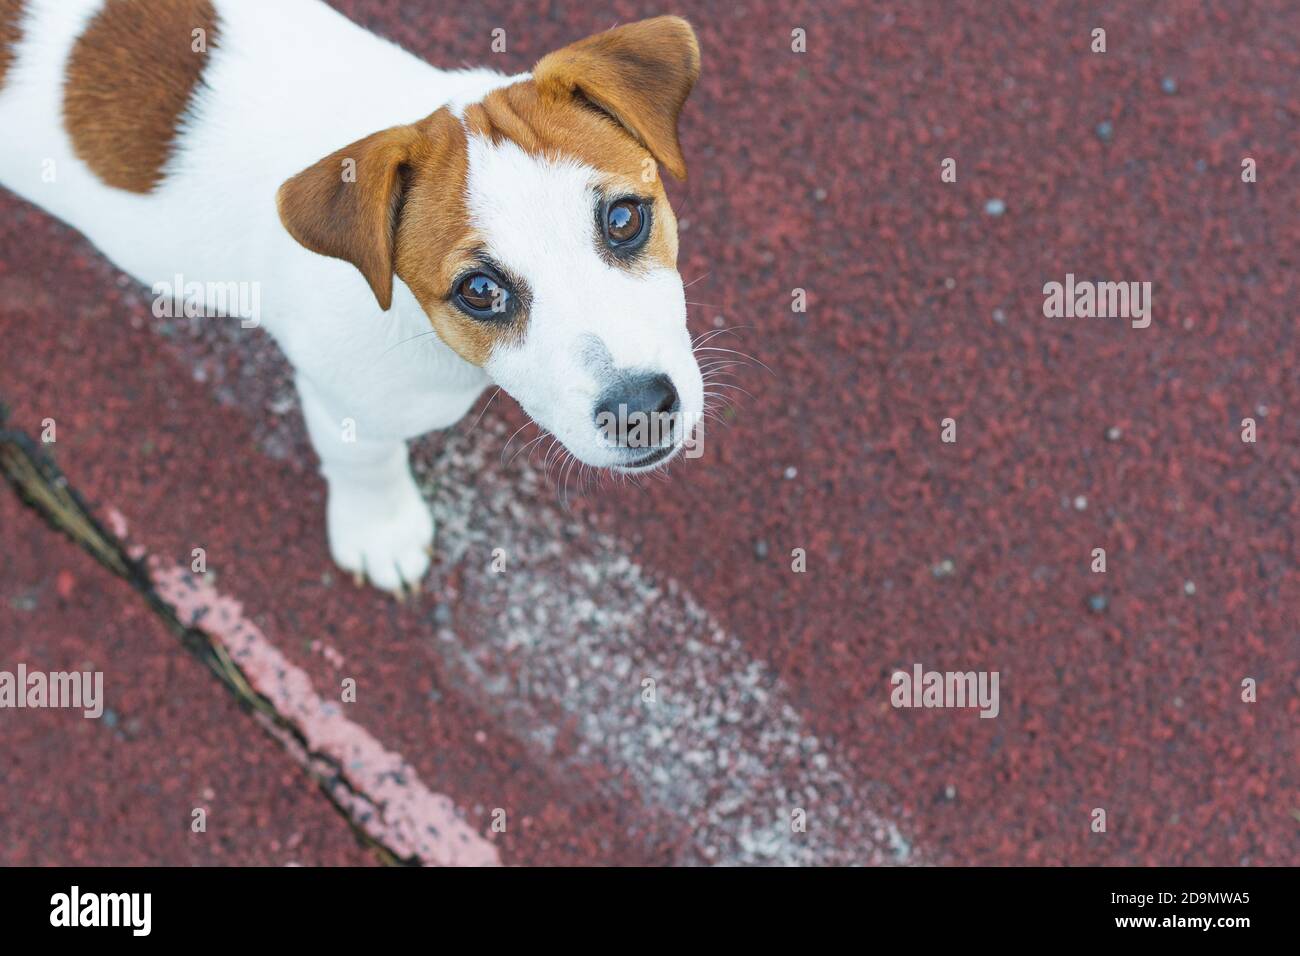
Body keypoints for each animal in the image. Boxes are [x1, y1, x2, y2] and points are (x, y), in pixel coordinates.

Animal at [0, 0, 707, 595]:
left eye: (624, 219)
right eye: (480, 291)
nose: (642, 410)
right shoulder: (346, 401)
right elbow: (362, 464)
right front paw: (381, 533)